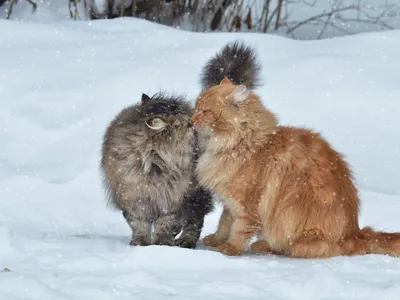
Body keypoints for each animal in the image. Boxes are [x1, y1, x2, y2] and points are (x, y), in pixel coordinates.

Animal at [99, 92, 212, 247]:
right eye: (189, 125)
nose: (195, 123)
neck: (154, 166)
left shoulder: (172, 198)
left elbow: (166, 223)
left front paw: (161, 243)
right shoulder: (134, 197)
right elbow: (139, 224)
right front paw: (140, 242)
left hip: (196, 195)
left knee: (195, 220)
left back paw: (185, 241)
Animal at [193, 41, 400, 258]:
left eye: (205, 112)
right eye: (196, 108)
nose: (192, 119)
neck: (241, 144)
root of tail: (355, 234)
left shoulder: (246, 204)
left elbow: (238, 230)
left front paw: (229, 249)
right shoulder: (229, 203)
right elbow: (223, 224)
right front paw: (216, 240)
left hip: (294, 228)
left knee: (289, 247)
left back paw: (262, 246)